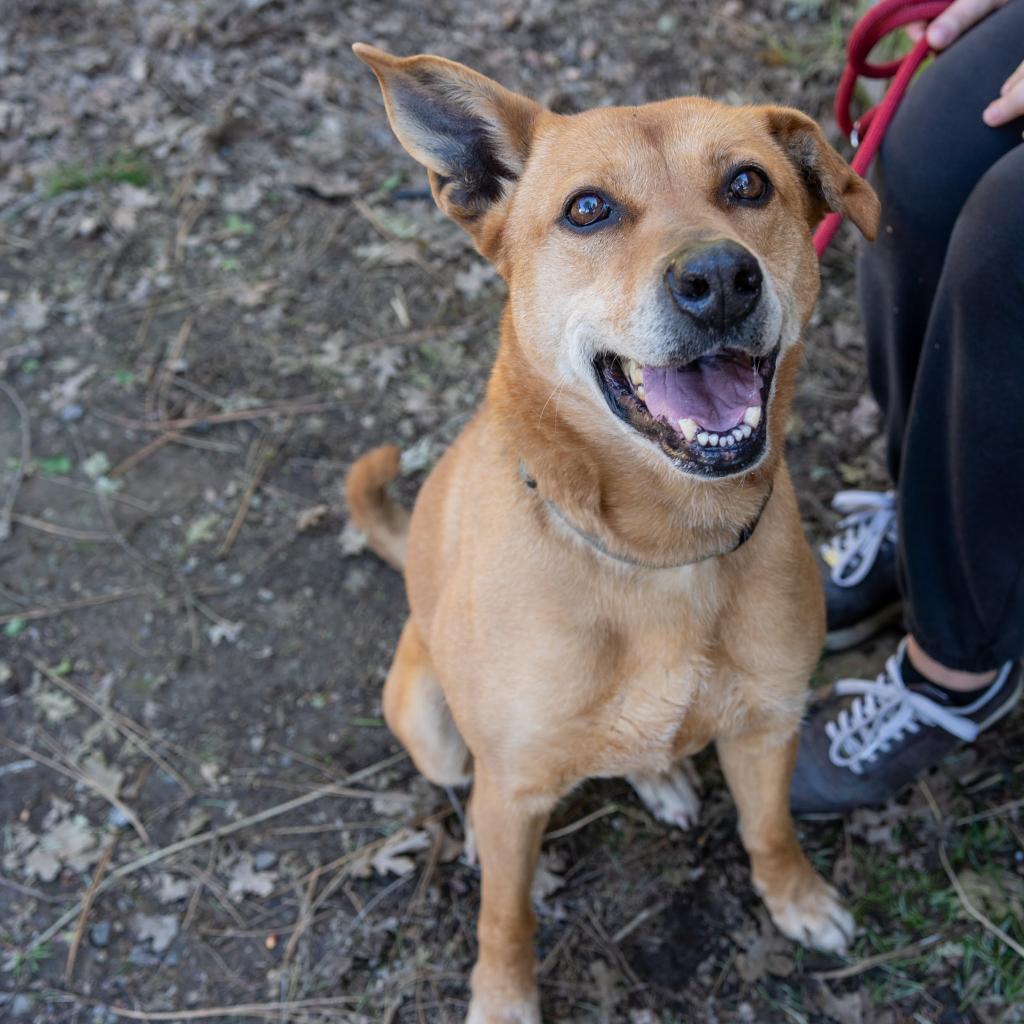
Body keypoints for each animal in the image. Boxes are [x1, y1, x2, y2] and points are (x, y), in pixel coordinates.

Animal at [348, 46, 876, 1024]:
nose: (719, 279)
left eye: (749, 184)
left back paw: (660, 774)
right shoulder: (513, 783)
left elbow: (770, 828)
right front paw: (504, 998)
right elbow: (505, 916)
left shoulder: (768, 725)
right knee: (468, 791)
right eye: (587, 208)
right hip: (434, 726)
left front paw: (796, 898)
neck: (662, 551)